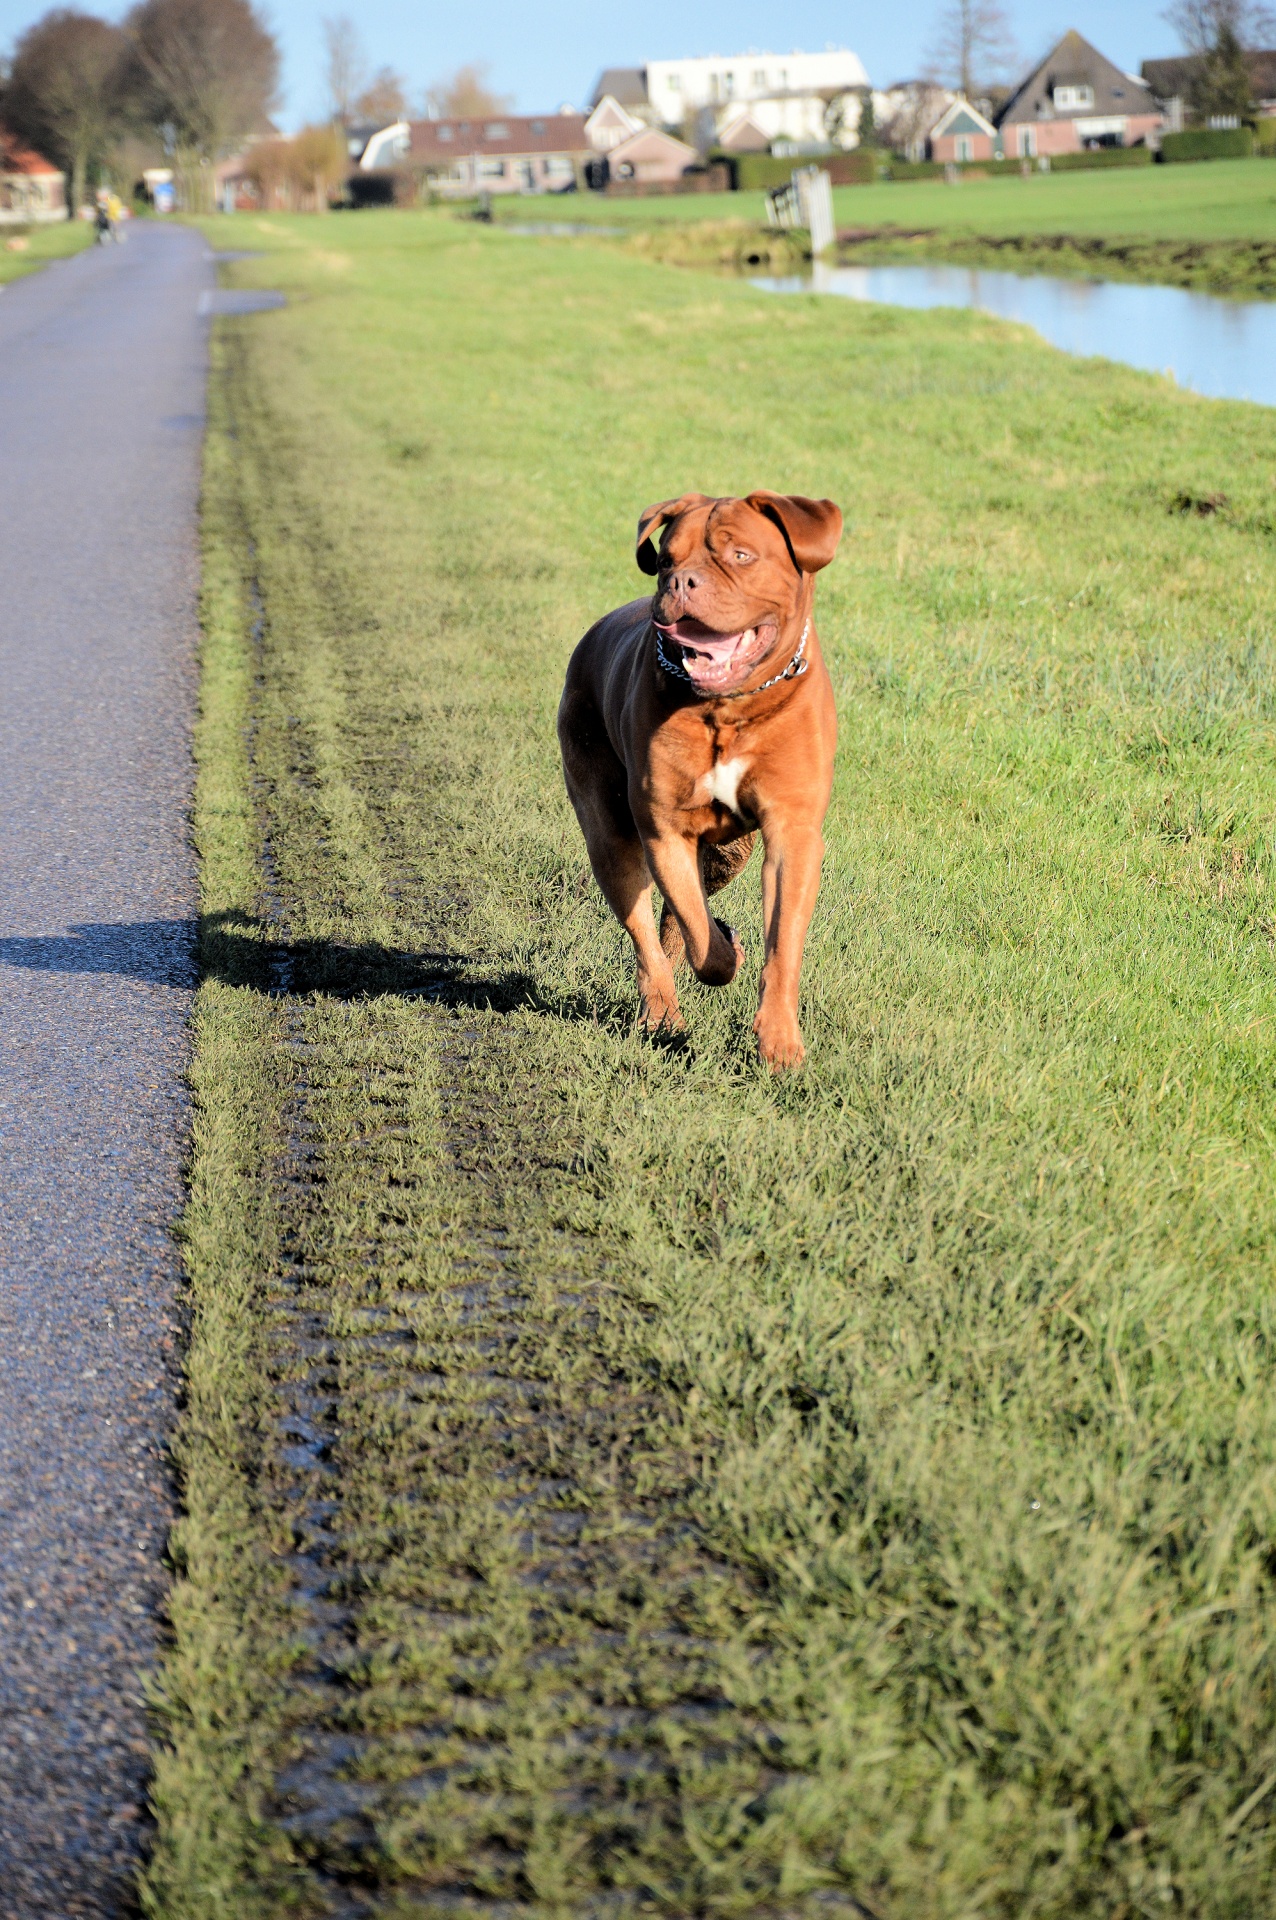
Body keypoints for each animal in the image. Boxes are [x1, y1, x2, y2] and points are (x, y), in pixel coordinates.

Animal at [556, 491, 836, 1067]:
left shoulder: (792, 834)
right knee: (648, 930)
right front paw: (727, 953)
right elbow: (701, 936)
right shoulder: (665, 832)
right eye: (666, 559)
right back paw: (662, 1014)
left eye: (741, 556)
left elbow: (782, 942)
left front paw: (780, 1043)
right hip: (608, 833)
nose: (681, 582)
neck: (729, 709)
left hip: (730, 854)